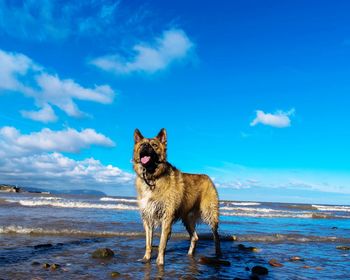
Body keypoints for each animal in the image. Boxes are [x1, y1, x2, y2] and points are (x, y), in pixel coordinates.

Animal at [133, 128, 220, 266]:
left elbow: (162, 243)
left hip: (209, 213)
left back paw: (218, 253)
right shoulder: (148, 216)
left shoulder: (167, 217)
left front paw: (160, 262)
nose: (146, 147)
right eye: (142, 145)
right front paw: (146, 258)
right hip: (187, 218)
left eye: (154, 145)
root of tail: (207, 177)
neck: (153, 178)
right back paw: (189, 255)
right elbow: (148, 242)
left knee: (216, 235)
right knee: (195, 237)